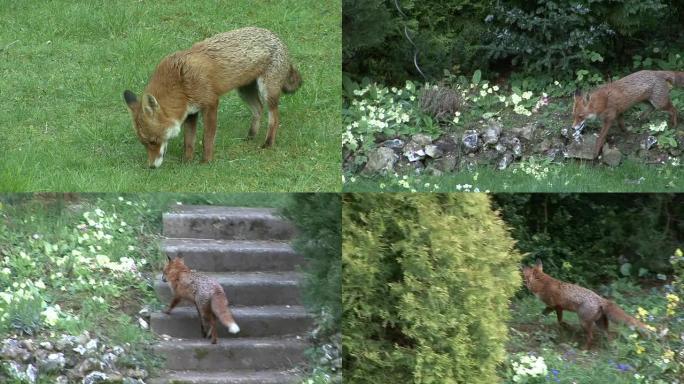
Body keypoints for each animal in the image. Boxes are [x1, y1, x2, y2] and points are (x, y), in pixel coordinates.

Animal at [122, 27, 302, 169]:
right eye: (144, 143)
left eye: (153, 141)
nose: (151, 167)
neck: (180, 83)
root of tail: (276, 36)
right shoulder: (191, 112)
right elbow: (189, 141)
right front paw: (187, 161)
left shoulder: (211, 103)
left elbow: (207, 138)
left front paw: (206, 162)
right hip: (244, 91)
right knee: (258, 110)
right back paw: (250, 136)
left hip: (267, 91)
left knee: (274, 118)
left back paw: (268, 143)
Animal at [151, 207, 312, 384]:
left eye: (164, 271)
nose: (162, 278)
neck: (181, 273)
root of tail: (217, 287)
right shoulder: (196, 305)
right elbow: (200, 320)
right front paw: (202, 331)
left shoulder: (178, 296)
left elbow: (171, 305)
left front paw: (166, 312)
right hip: (207, 307)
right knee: (213, 321)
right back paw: (210, 336)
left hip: (207, 310)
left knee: (214, 323)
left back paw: (214, 341)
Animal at [524, 260, 652, 350]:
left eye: (525, 277)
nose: (524, 284)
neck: (543, 284)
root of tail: (601, 299)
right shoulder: (558, 307)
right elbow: (545, 316)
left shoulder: (554, 306)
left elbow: (555, 319)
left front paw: (564, 325)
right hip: (600, 325)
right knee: (609, 336)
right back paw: (609, 348)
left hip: (584, 323)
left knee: (591, 338)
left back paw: (584, 349)